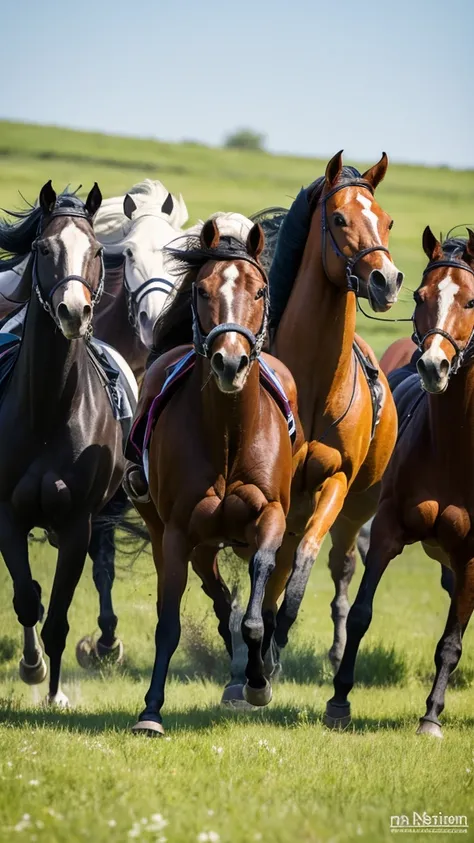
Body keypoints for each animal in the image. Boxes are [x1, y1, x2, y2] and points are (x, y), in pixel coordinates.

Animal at [0, 183, 134, 704]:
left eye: (96, 251)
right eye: (42, 248)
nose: (74, 311)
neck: (49, 408)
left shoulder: (78, 522)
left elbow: (57, 618)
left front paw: (55, 692)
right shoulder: (8, 514)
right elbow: (27, 599)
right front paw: (33, 666)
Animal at [126, 216, 306, 732]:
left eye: (259, 290)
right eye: (203, 290)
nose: (230, 361)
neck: (228, 432)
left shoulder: (271, 516)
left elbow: (256, 609)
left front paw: (259, 681)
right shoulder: (177, 532)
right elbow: (169, 622)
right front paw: (151, 711)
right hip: (184, 538)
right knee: (216, 595)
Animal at [248, 150, 404, 672]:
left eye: (387, 221)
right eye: (338, 218)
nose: (386, 280)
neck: (313, 388)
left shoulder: (335, 481)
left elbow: (305, 558)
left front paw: (278, 635)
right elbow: (270, 563)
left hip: (355, 509)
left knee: (338, 564)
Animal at [326, 227, 474, 736]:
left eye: (471, 300)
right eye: (421, 295)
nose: (433, 366)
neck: (452, 453)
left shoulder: (471, 559)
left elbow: (451, 641)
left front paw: (431, 716)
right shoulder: (389, 529)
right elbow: (362, 613)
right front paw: (339, 699)